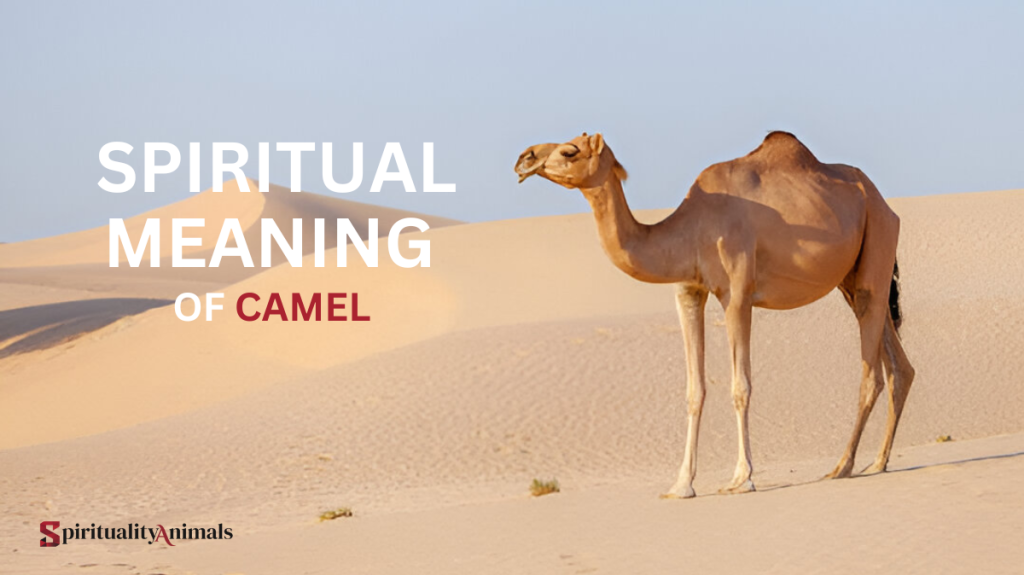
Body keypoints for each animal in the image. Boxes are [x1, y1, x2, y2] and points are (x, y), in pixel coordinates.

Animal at [515, 131, 915, 498]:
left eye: (570, 151)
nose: (524, 158)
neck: (690, 229)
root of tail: (884, 203)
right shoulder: (688, 292)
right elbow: (694, 388)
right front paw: (681, 485)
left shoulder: (737, 295)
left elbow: (741, 386)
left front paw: (742, 478)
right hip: (853, 278)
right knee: (898, 364)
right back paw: (877, 462)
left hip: (877, 240)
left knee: (871, 372)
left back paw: (842, 466)